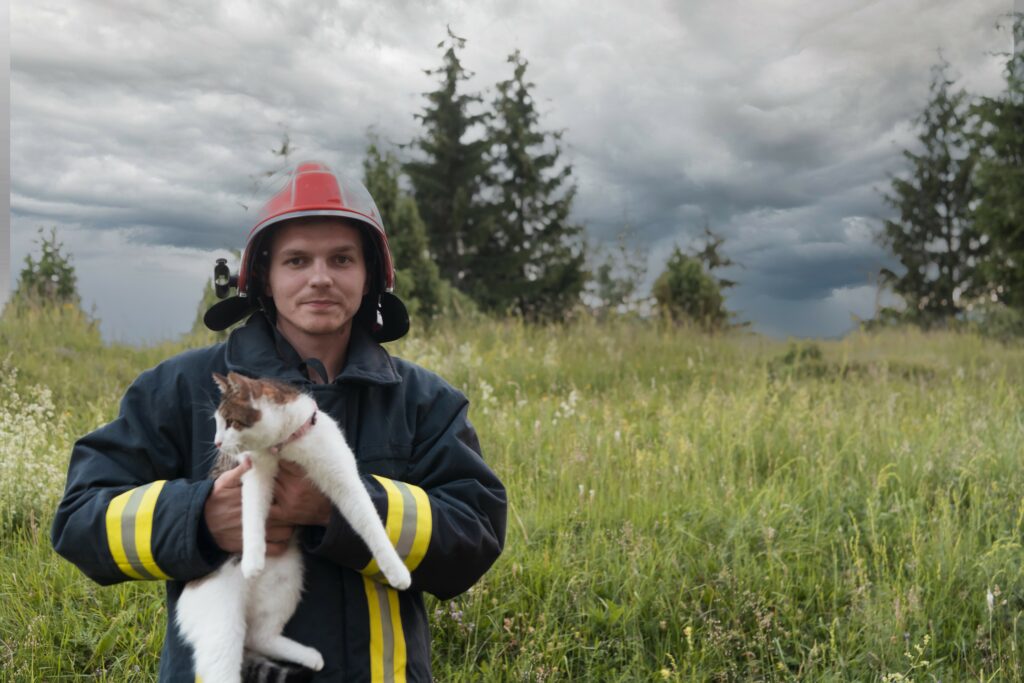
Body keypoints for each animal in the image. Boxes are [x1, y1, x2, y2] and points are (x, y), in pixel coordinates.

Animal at [177, 374, 411, 683]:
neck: (285, 444)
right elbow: (252, 513)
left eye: (229, 422)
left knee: (260, 636)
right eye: (217, 422)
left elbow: (369, 521)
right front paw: (252, 558)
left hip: (285, 582)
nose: (216, 443)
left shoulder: (342, 476)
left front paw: (396, 570)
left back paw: (310, 656)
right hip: (222, 624)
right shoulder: (254, 472)